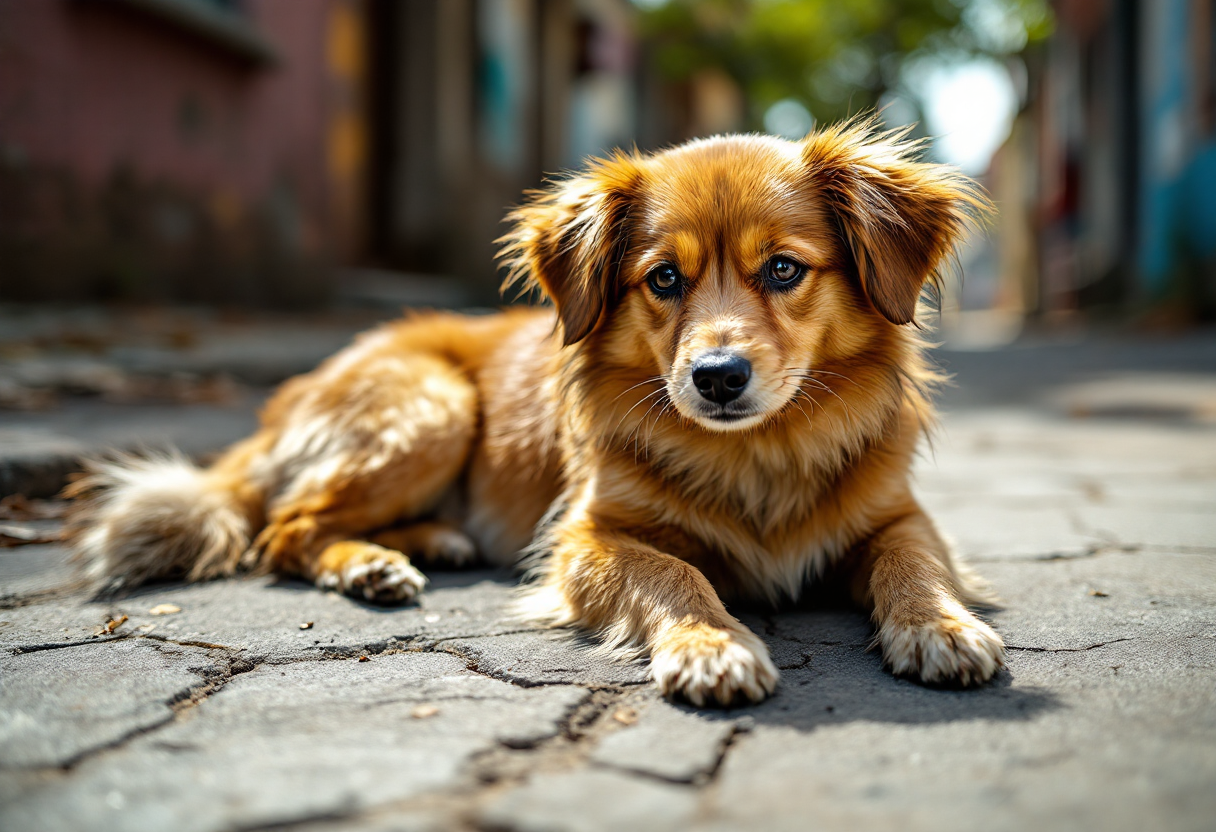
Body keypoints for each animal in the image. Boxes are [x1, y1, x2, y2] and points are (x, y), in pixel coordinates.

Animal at [66, 120, 1001, 705]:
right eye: (664, 278)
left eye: (782, 269)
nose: (716, 377)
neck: (757, 455)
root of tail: (282, 404)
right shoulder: (587, 538)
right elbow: (677, 573)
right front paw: (710, 643)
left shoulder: (900, 516)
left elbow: (910, 562)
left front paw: (939, 626)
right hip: (433, 405)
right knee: (285, 528)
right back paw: (369, 564)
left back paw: (427, 543)